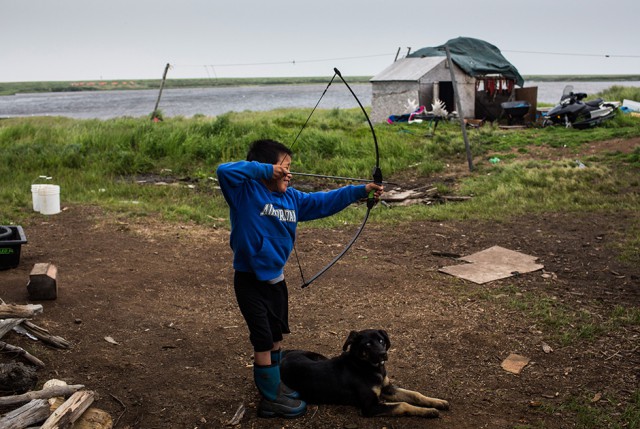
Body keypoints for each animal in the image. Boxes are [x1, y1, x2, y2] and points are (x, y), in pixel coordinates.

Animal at [280, 330, 450, 416]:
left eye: (381, 341)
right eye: (368, 344)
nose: (383, 354)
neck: (367, 367)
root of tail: (284, 356)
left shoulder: (388, 389)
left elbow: (415, 394)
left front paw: (437, 402)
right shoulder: (370, 406)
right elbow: (403, 404)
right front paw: (428, 412)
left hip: (320, 356)